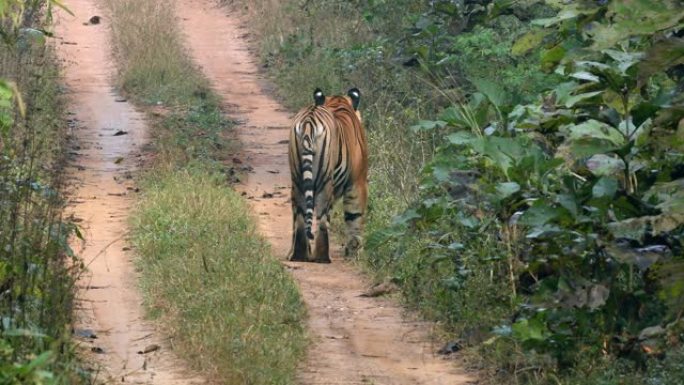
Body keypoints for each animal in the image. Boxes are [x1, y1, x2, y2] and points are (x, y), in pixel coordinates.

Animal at [286, 87, 366, 262]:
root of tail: (309, 121)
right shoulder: (358, 181)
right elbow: (355, 216)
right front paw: (354, 252)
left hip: (297, 180)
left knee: (300, 218)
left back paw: (299, 254)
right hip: (325, 181)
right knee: (322, 219)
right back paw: (322, 257)